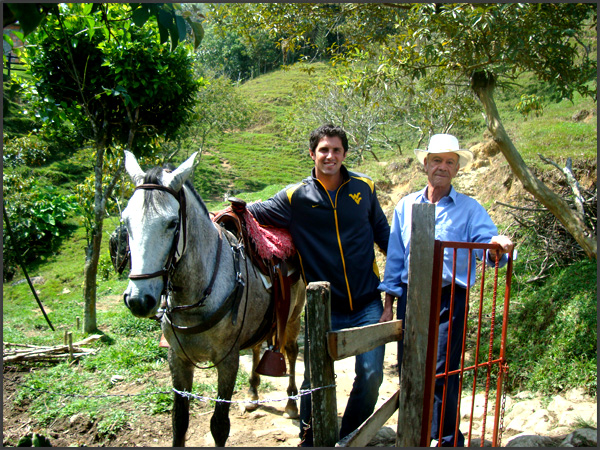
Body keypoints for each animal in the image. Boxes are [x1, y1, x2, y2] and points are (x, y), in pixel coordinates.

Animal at [120, 152, 304, 446]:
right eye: (125, 222)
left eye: (172, 223)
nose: (139, 299)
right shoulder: (178, 360)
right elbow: (179, 422)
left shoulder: (227, 361)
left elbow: (219, 425)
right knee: (256, 347)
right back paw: (252, 394)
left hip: (293, 316)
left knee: (291, 350)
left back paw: (291, 403)